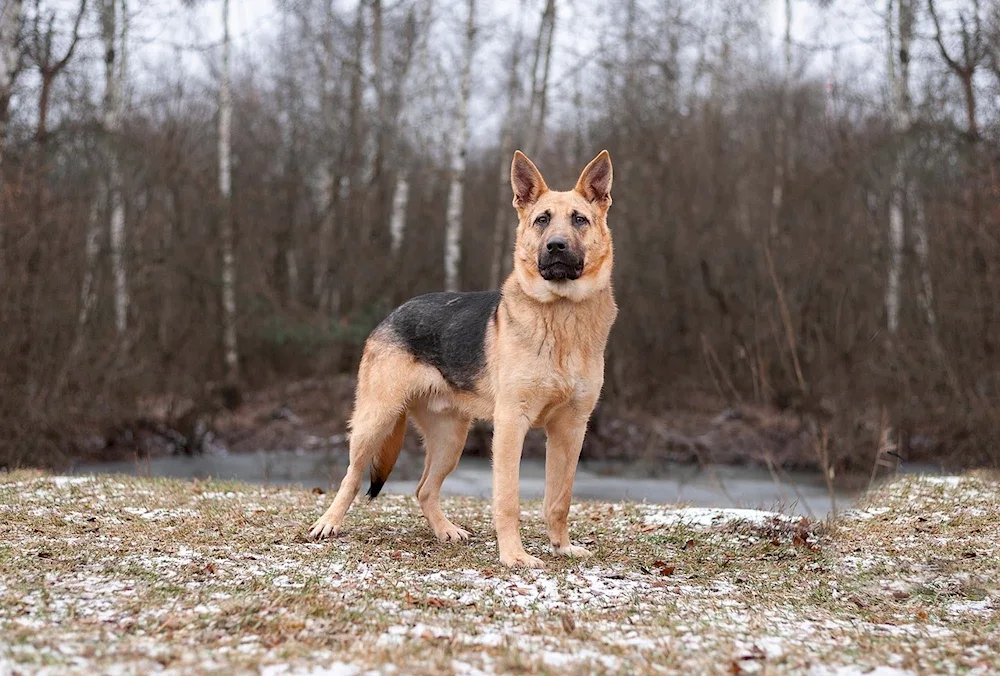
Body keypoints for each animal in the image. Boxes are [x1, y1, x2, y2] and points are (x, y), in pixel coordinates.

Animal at [306, 151, 616, 568]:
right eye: (542, 220)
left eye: (579, 220)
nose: (555, 246)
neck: (561, 314)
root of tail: (393, 313)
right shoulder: (511, 424)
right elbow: (508, 498)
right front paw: (514, 556)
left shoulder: (570, 429)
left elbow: (559, 499)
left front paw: (561, 547)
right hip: (376, 421)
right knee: (352, 477)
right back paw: (328, 523)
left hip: (451, 440)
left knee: (423, 489)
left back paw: (445, 531)